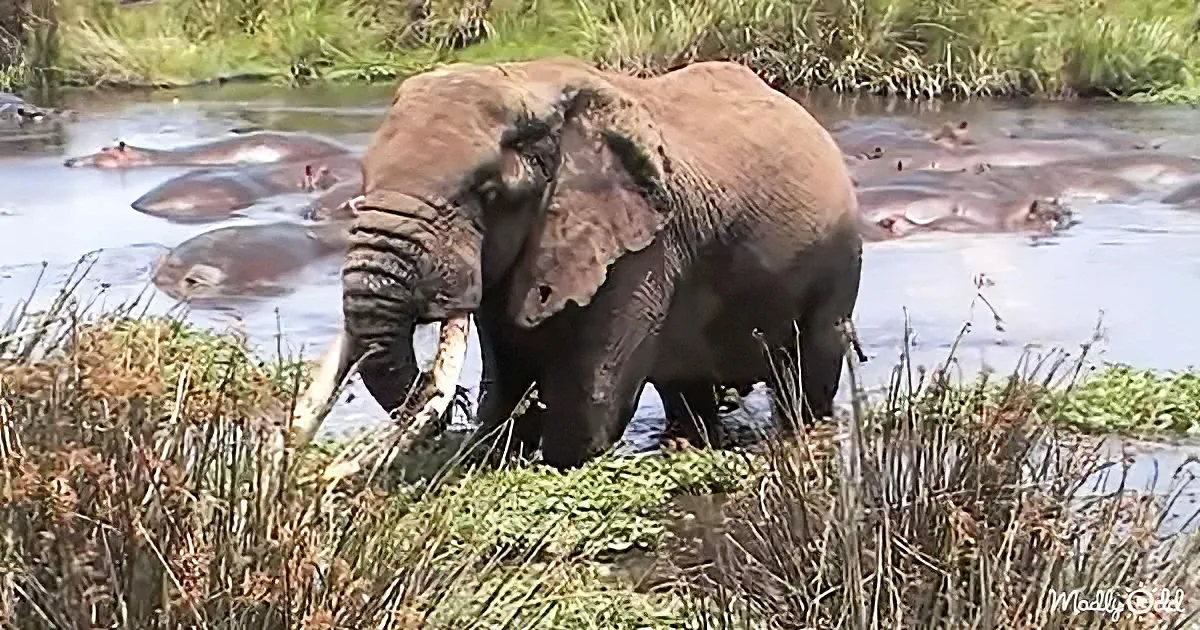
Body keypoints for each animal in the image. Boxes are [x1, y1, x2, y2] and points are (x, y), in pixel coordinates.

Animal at [287, 57, 864, 469]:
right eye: (362, 180)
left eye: (487, 192)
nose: (451, 404)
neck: (528, 85)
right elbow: (507, 382)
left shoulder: (642, 250)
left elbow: (588, 406)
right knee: (688, 393)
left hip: (838, 259)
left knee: (811, 371)